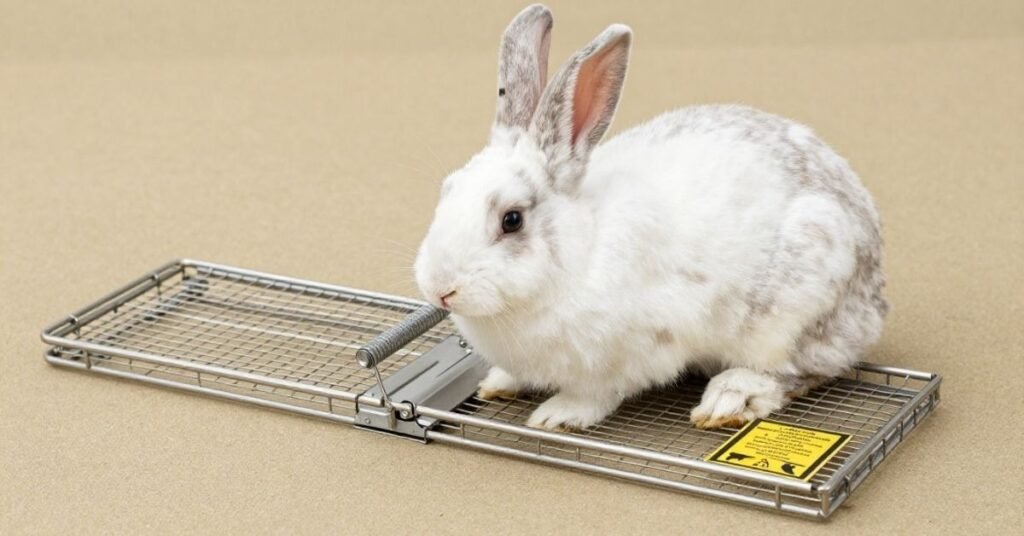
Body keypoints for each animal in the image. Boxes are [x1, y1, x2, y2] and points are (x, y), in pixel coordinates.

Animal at [413, 4, 887, 431]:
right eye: (448, 189)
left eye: (511, 220)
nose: (441, 290)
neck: (579, 252)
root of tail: (874, 300)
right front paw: (497, 384)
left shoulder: (632, 352)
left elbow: (598, 393)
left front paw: (558, 415)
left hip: (794, 312)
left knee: (804, 371)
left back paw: (728, 400)